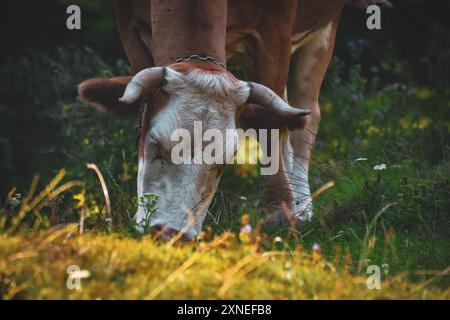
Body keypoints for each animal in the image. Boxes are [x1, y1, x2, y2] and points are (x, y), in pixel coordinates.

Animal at [77, 0, 390, 240]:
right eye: (153, 144)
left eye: (223, 163)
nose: (171, 235)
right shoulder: (129, 25)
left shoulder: (276, 29)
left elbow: (273, 128)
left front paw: (279, 211)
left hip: (323, 28)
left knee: (306, 116)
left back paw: (301, 207)